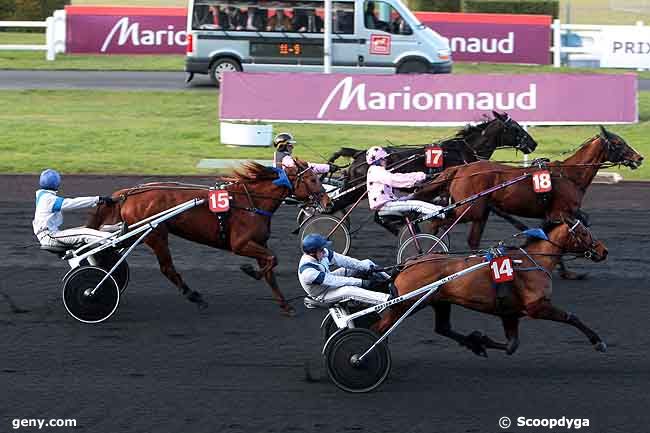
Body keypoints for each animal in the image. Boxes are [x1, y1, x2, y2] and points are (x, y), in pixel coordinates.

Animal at [86, 161, 330, 314]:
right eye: (312, 179)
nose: (327, 201)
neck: (251, 202)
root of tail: (127, 194)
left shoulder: (259, 243)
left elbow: (271, 270)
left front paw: (286, 306)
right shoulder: (240, 244)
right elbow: (272, 260)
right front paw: (250, 271)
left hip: (136, 232)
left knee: (109, 250)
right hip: (155, 233)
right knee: (167, 268)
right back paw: (194, 296)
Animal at [372, 218, 612, 356]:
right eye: (584, 232)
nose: (604, 250)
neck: (534, 260)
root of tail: (408, 263)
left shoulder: (510, 313)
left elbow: (511, 346)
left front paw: (479, 341)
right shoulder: (537, 307)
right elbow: (572, 317)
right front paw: (598, 342)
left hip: (439, 301)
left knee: (442, 328)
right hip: (405, 304)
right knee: (378, 329)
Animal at [412, 125, 640, 276]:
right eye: (618, 143)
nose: (639, 158)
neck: (569, 176)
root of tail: (461, 169)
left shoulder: (559, 213)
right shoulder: (559, 212)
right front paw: (566, 271)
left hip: (480, 212)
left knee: (471, 239)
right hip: (469, 209)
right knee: (437, 222)